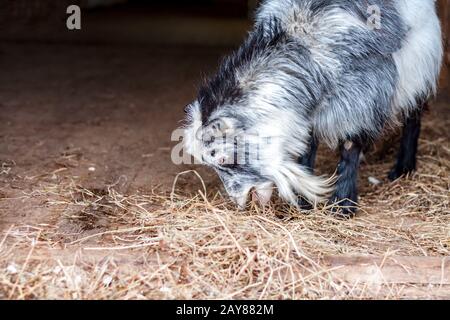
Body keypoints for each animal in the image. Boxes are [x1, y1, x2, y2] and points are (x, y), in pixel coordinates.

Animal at [182, 0, 442, 216]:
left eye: (224, 158)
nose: (241, 200)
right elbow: (308, 145)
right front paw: (303, 201)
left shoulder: (361, 97)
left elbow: (350, 145)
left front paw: (342, 206)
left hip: (418, 67)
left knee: (413, 114)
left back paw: (403, 168)